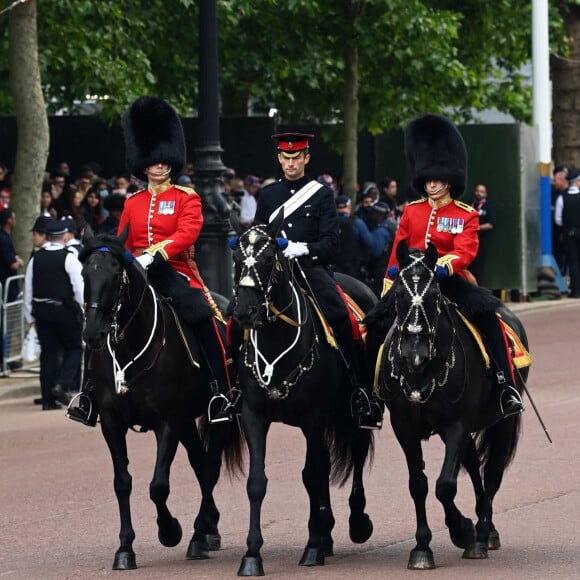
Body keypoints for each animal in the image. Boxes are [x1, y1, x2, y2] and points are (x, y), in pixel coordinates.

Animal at [77, 232, 242, 572]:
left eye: (116, 274)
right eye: (85, 274)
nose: (92, 333)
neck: (131, 345)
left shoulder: (167, 422)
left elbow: (158, 486)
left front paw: (169, 531)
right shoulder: (112, 424)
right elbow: (122, 482)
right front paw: (125, 549)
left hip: (218, 414)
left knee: (210, 467)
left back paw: (198, 536)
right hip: (187, 421)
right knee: (199, 462)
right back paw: (209, 529)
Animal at [230, 212, 376, 576]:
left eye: (268, 259)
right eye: (237, 258)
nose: (245, 312)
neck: (276, 339)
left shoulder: (313, 418)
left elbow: (312, 474)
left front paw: (312, 546)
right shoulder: (254, 416)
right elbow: (258, 482)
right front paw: (252, 554)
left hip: (351, 412)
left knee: (354, 454)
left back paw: (355, 523)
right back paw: (327, 534)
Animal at [376, 241, 532, 572]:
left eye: (435, 295)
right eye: (398, 295)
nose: (415, 354)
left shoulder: (456, 426)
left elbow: (445, 485)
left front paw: (462, 529)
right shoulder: (405, 429)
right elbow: (419, 484)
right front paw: (422, 548)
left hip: (504, 422)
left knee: (493, 473)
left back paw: (482, 534)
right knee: (474, 466)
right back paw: (486, 528)